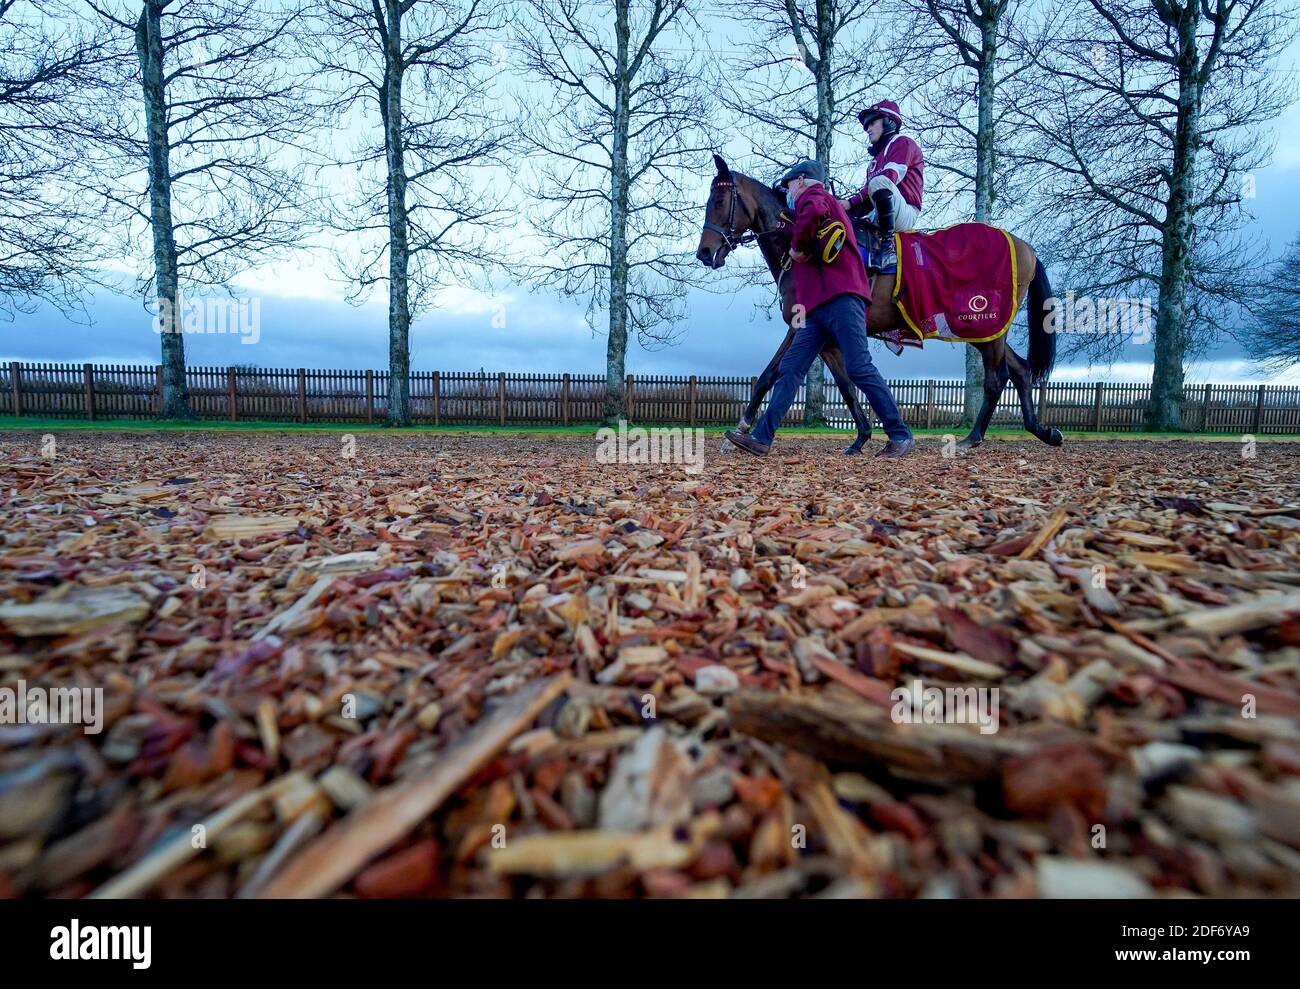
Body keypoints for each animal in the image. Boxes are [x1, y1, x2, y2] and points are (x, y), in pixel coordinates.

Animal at [696, 154, 1060, 452]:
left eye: (719, 199)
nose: (704, 252)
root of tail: (1023, 245)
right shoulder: (828, 337)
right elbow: (846, 384)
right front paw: (861, 437)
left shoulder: (802, 326)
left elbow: (771, 375)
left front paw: (741, 429)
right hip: (986, 330)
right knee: (1020, 370)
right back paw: (1040, 430)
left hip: (981, 326)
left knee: (997, 377)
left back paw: (973, 437)